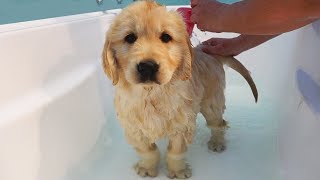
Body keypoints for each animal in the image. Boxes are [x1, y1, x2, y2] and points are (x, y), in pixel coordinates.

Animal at [102, 0, 258, 179]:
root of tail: (207, 52)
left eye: (166, 37)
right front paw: (147, 168)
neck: (151, 92)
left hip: (211, 102)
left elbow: (175, 153)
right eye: (130, 37)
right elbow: (147, 151)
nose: (147, 66)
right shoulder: (134, 126)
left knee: (218, 124)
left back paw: (217, 142)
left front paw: (178, 171)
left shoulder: (181, 125)